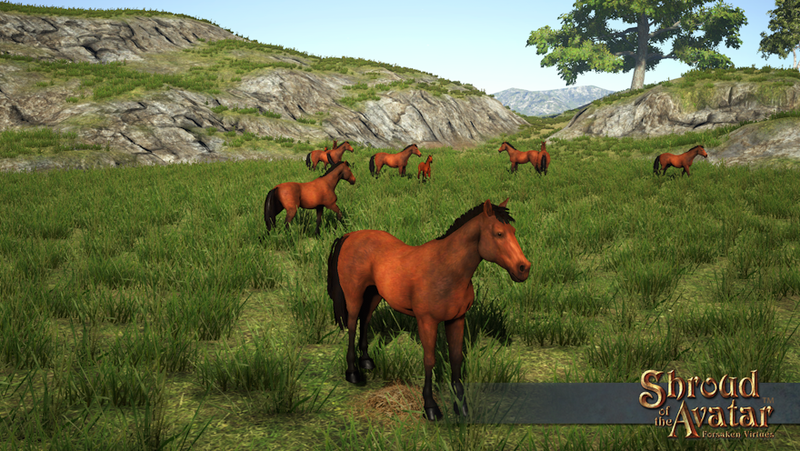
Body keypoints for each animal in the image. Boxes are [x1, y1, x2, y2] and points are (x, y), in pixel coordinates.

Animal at [327, 199, 530, 421]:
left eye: (513, 231)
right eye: (499, 233)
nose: (524, 268)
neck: (447, 270)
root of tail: (350, 236)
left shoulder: (457, 319)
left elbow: (456, 358)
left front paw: (461, 406)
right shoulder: (427, 321)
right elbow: (429, 360)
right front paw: (431, 407)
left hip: (374, 294)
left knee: (365, 320)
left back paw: (366, 362)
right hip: (354, 295)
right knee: (352, 325)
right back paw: (353, 373)